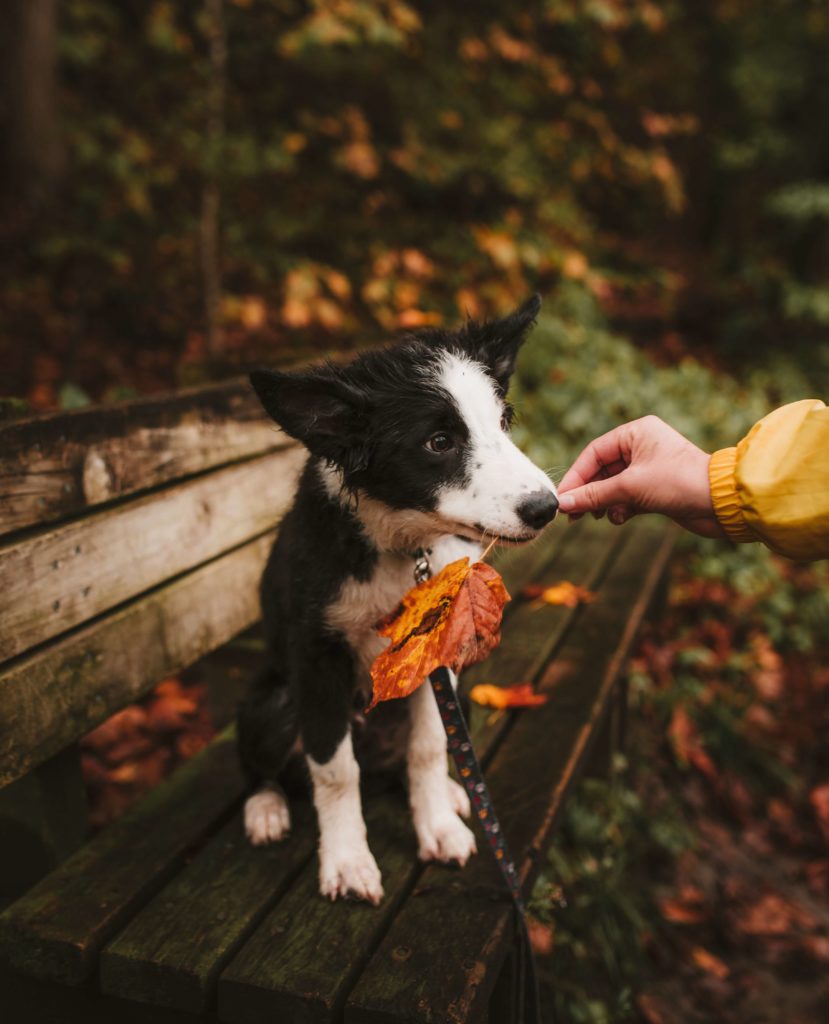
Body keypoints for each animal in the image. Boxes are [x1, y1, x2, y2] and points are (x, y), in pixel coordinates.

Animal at [240, 294, 560, 905]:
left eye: (503, 422)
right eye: (439, 442)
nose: (546, 508)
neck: (401, 547)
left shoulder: (438, 652)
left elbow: (430, 746)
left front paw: (437, 827)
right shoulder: (317, 657)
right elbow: (334, 769)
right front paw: (347, 862)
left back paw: (455, 797)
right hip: (271, 701)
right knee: (264, 764)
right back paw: (265, 808)